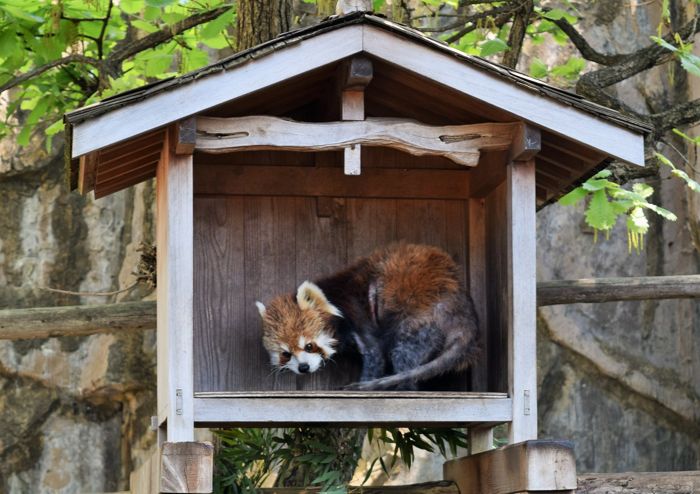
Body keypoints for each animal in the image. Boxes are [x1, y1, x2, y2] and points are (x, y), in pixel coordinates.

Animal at [258, 242, 482, 390]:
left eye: (309, 345)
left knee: (403, 353)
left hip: (421, 318)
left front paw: (364, 382)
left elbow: (375, 353)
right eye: (286, 353)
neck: (333, 298)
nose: (303, 368)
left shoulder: (356, 313)